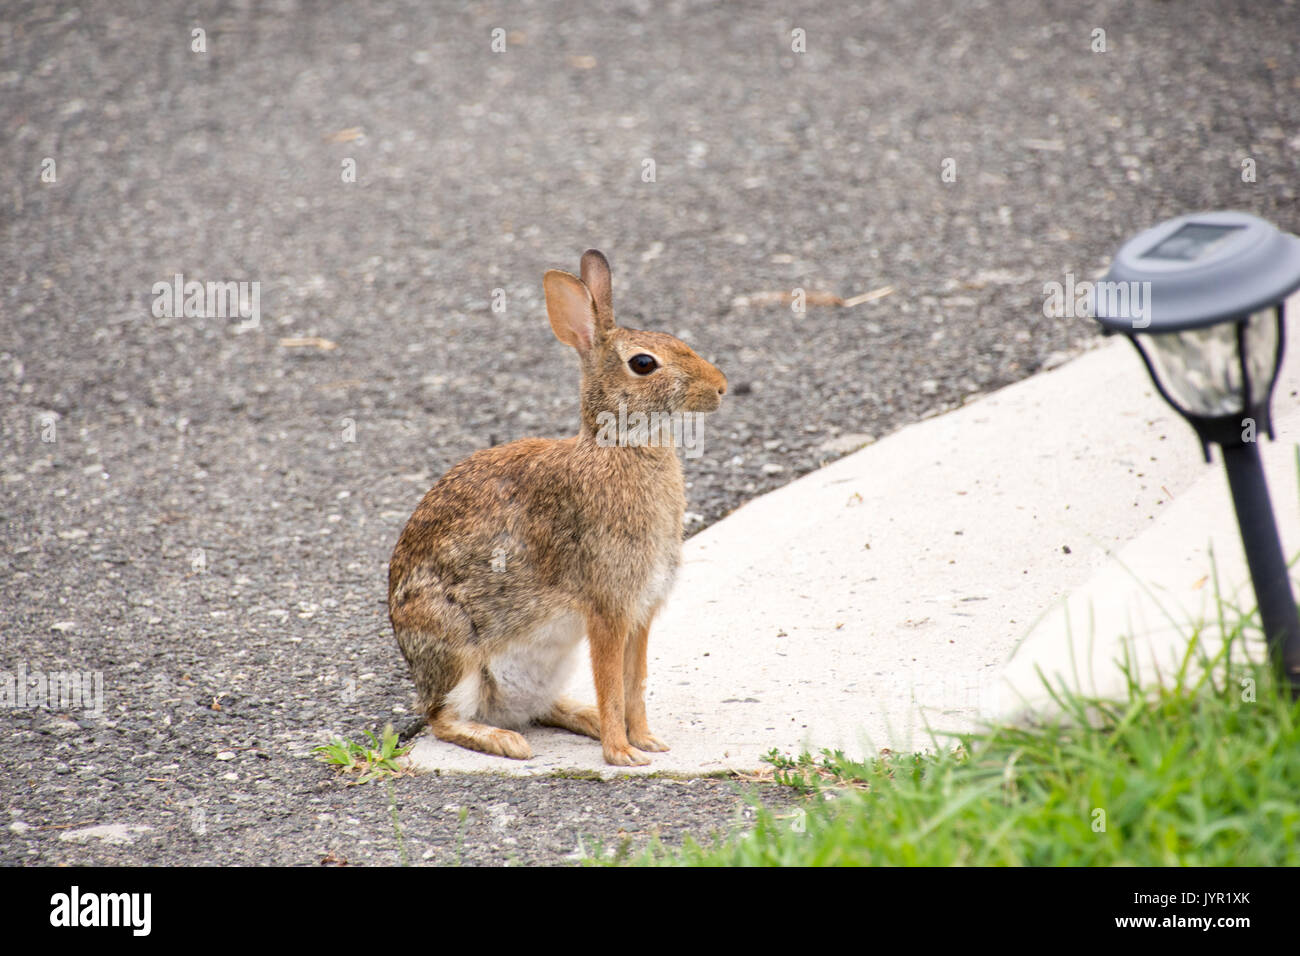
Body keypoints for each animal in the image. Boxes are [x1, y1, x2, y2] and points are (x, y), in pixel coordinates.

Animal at [388, 249, 727, 766]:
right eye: (643, 363)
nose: (723, 386)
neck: (620, 446)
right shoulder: (607, 608)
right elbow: (612, 682)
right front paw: (622, 754)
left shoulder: (641, 611)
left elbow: (635, 683)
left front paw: (646, 741)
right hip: (453, 645)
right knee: (443, 718)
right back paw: (506, 740)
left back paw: (581, 719)